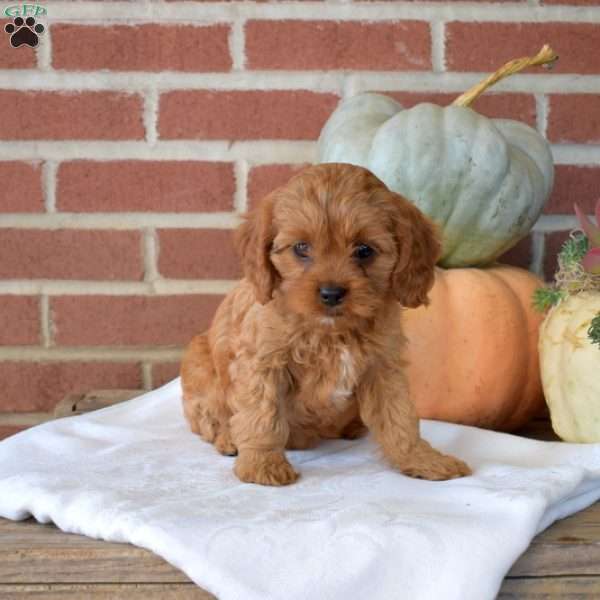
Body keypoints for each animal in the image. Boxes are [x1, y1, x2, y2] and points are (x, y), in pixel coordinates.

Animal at [180, 162, 472, 486]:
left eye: (364, 250)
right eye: (301, 247)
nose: (331, 293)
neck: (332, 332)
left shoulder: (383, 367)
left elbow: (400, 418)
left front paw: (424, 460)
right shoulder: (262, 362)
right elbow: (262, 414)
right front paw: (262, 465)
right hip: (200, 367)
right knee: (209, 418)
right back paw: (229, 439)